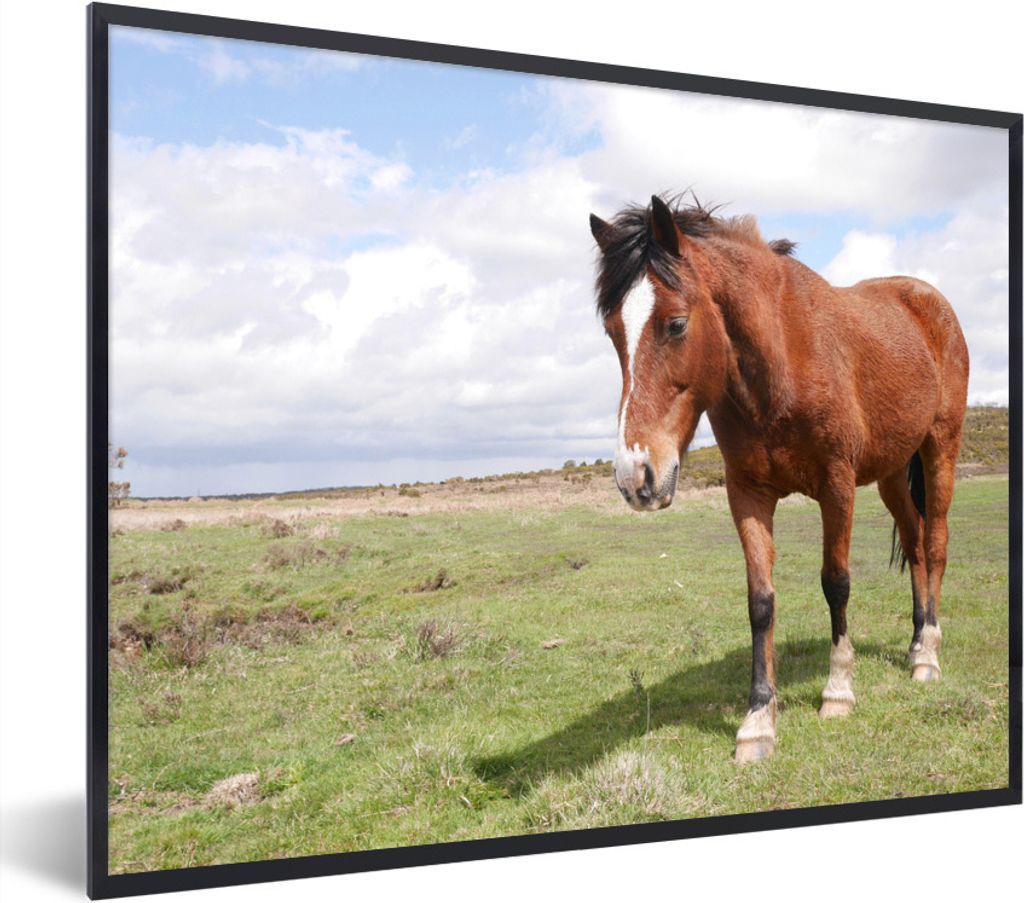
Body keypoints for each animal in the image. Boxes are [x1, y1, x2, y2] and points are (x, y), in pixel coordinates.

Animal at [589, 194, 969, 763]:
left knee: (937, 544)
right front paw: (758, 720)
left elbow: (836, 583)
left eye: (676, 324)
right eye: (614, 331)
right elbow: (760, 602)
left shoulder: (836, 485)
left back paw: (928, 655)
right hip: (892, 474)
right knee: (917, 546)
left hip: (939, 448)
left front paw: (838, 691)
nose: (636, 476)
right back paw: (916, 642)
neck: (781, 364)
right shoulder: (747, 493)